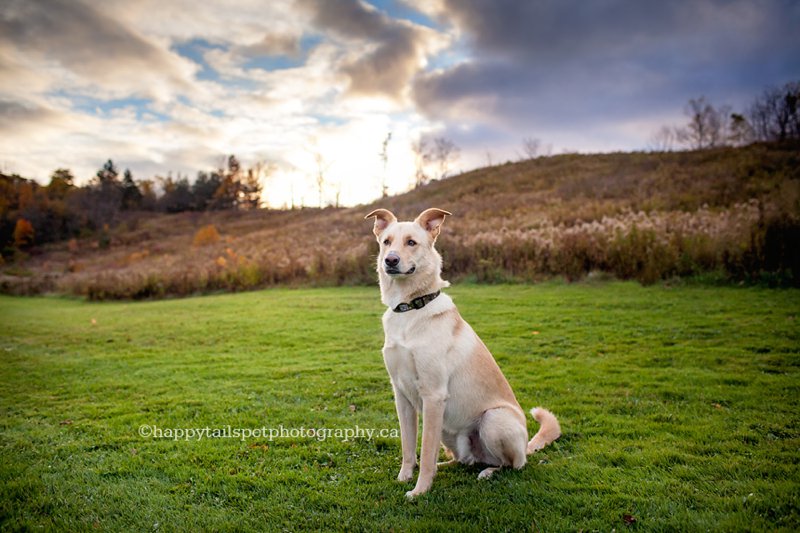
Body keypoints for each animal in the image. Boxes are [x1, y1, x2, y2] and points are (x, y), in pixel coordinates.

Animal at [364, 206, 560, 496]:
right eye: (386, 242)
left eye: (411, 242)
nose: (390, 260)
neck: (410, 309)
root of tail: (526, 447)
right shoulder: (401, 395)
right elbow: (409, 446)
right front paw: (404, 477)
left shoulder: (433, 396)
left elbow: (425, 447)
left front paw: (419, 491)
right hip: (449, 429)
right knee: (463, 459)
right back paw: (447, 465)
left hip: (493, 420)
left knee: (511, 464)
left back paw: (488, 472)